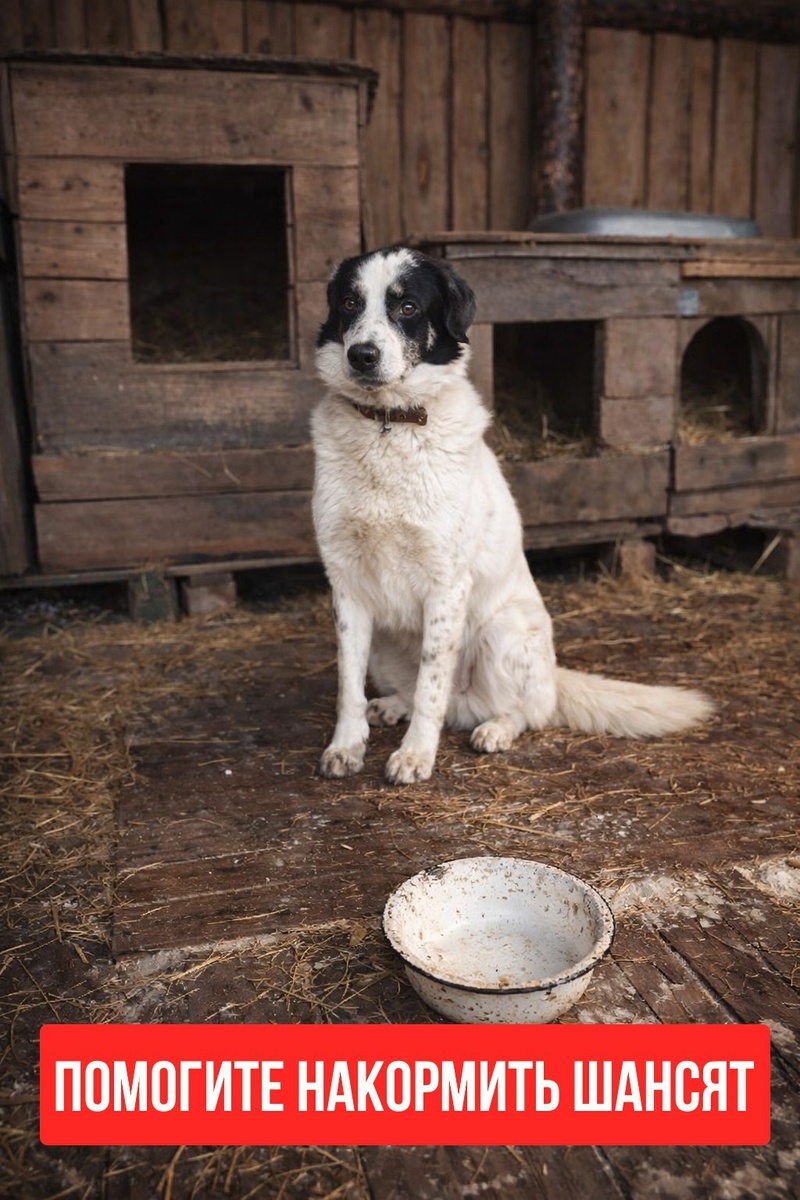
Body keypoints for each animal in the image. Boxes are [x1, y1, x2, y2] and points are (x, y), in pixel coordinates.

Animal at [311, 245, 712, 785]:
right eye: (350, 303)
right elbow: (347, 686)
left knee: (521, 711)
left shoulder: (446, 583)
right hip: (384, 643)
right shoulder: (347, 585)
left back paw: (494, 730)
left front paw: (415, 755)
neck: (388, 426)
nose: (361, 355)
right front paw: (347, 747)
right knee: (422, 693)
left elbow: (432, 685)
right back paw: (393, 705)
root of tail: (555, 677)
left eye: (408, 307)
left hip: (502, 632)